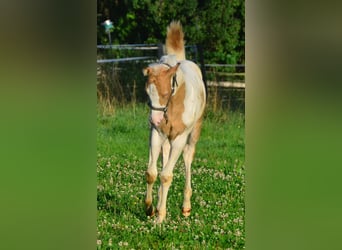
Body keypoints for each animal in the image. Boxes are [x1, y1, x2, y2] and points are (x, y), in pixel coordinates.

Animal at [142, 21, 206, 224]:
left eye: (164, 93)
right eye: (147, 93)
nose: (154, 119)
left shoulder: (179, 138)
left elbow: (166, 176)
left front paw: (160, 217)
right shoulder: (156, 134)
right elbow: (152, 173)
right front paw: (150, 209)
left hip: (192, 135)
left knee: (187, 159)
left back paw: (186, 207)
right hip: (166, 140)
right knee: (164, 159)